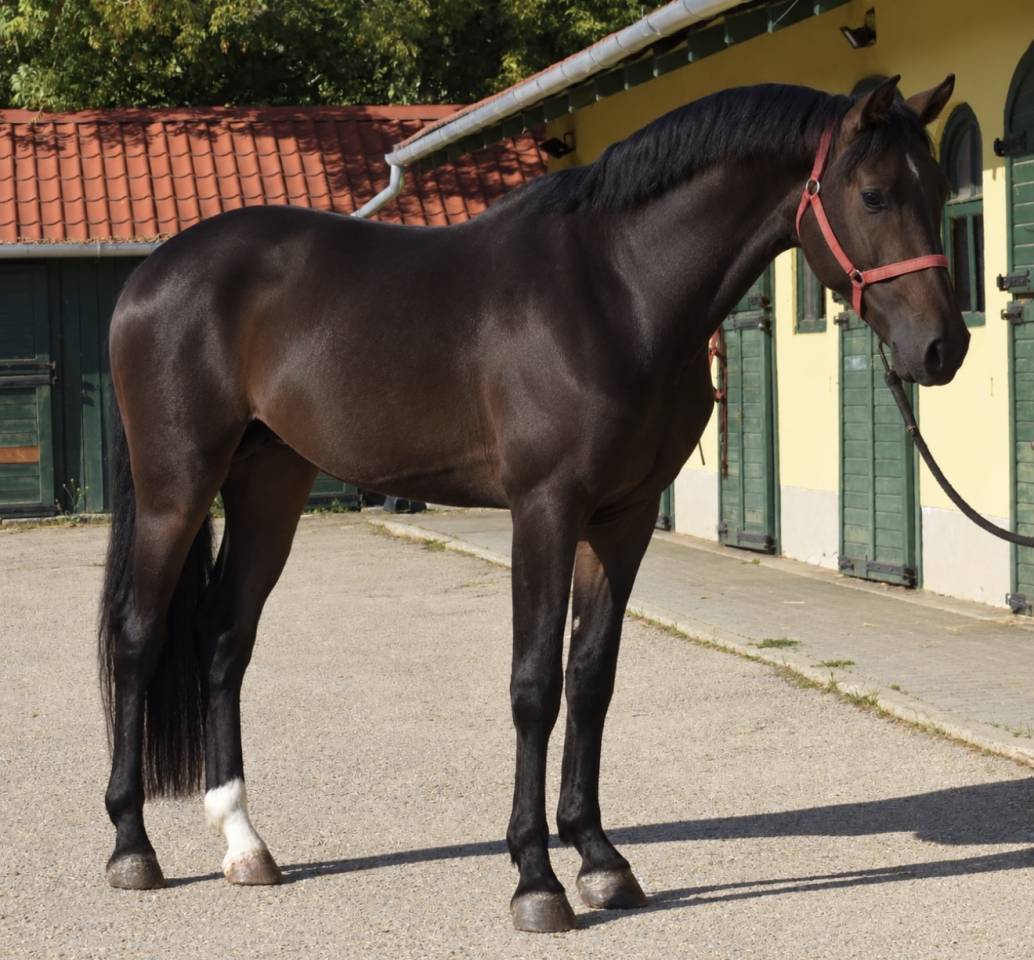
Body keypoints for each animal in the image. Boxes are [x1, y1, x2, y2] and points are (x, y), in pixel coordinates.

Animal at [98, 74, 968, 933]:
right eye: (874, 194)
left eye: (939, 187)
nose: (943, 348)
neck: (618, 292)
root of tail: (152, 272)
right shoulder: (545, 510)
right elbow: (534, 687)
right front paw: (535, 879)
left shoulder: (621, 520)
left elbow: (590, 679)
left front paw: (601, 860)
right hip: (178, 488)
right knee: (140, 640)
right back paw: (133, 848)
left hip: (270, 486)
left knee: (224, 641)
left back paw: (244, 843)